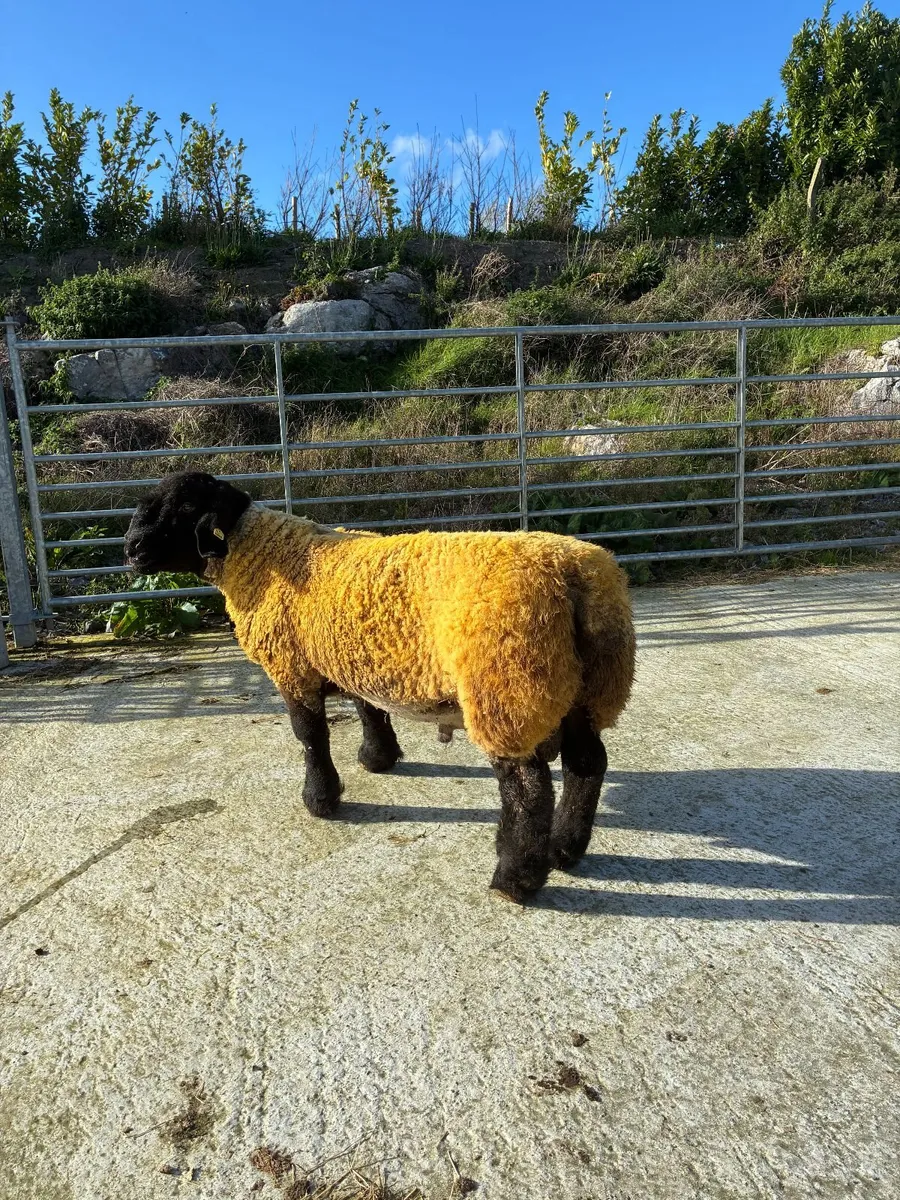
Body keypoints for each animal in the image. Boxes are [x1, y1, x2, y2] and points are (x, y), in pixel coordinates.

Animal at [124, 471, 636, 902]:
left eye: (184, 505)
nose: (130, 548)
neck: (263, 555)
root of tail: (575, 573)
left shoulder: (292, 668)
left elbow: (311, 736)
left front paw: (320, 800)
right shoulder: (355, 655)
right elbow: (369, 708)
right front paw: (377, 758)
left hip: (508, 689)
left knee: (529, 792)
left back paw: (515, 881)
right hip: (588, 688)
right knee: (587, 764)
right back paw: (566, 850)